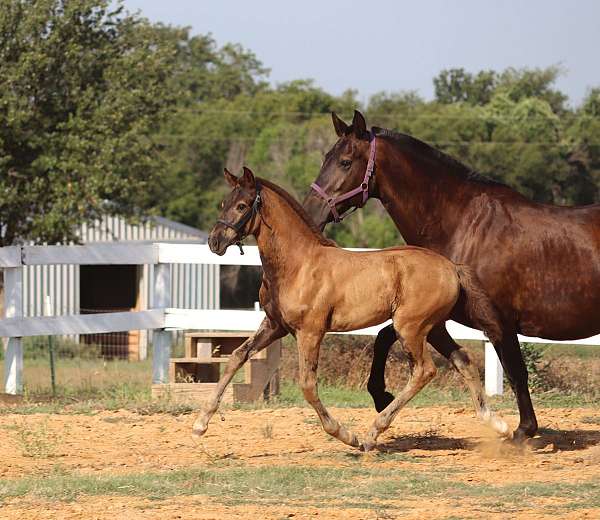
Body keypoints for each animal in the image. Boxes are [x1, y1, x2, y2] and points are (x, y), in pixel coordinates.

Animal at [192, 168, 506, 450]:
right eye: (224, 203)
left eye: (242, 205)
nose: (214, 241)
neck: (298, 264)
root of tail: (452, 267)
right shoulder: (274, 326)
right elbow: (237, 357)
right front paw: (200, 425)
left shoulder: (310, 332)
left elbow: (307, 385)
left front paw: (346, 435)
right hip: (435, 327)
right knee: (463, 360)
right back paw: (497, 423)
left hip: (410, 328)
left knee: (424, 371)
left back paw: (371, 433)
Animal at [302, 108, 600, 438]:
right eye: (325, 157)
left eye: (345, 161)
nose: (310, 213)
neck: (465, 226)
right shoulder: (432, 316)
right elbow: (384, 335)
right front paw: (381, 396)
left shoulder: (497, 321)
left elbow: (516, 372)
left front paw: (524, 431)